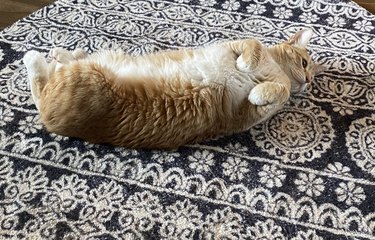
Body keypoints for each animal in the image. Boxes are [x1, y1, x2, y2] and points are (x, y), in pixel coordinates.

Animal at [22, 27, 326, 148]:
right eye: (304, 62)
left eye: (312, 77)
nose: (307, 80)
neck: (275, 70)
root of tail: (55, 122)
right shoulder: (236, 45)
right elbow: (253, 46)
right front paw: (246, 66)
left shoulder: (246, 114)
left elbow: (279, 93)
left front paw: (261, 91)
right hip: (88, 76)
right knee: (42, 86)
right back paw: (38, 56)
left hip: (86, 75)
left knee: (51, 80)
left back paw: (55, 54)